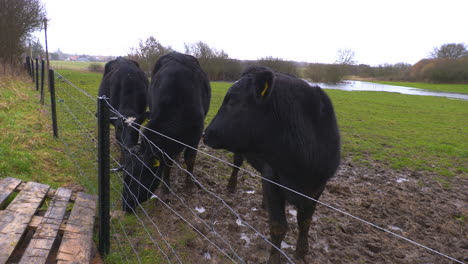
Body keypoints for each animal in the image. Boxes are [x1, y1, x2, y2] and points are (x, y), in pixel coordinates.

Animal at [124, 53, 212, 212]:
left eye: (137, 178)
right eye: (125, 177)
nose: (126, 205)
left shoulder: (195, 137)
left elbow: (190, 159)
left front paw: (189, 185)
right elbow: (167, 163)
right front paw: (166, 189)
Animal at [205, 65, 340, 262]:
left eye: (232, 100)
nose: (206, 133)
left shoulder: (317, 189)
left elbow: (305, 222)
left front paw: (302, 251)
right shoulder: (273, 180)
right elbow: (278, 226)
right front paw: (275, 258)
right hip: (241, 151)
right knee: (236, 164)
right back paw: (231, 186)